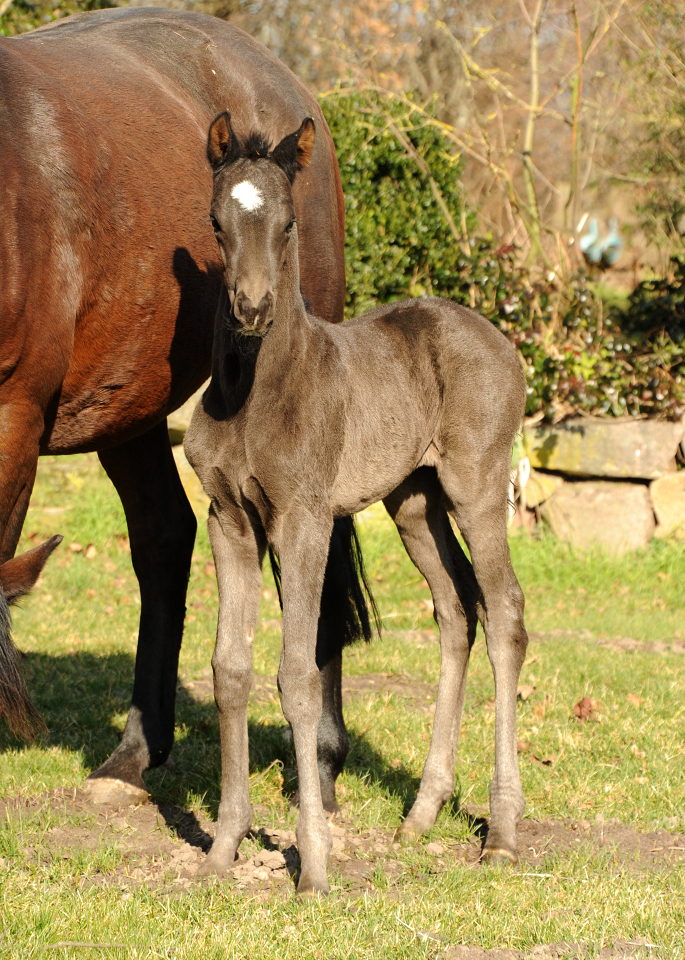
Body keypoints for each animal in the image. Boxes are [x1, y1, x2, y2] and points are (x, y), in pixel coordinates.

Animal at [184, 114, 528, 900]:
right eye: (217, 222)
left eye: (287, 223)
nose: (252, 308)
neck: (252, 392)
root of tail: (503, 344)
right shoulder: (228, 520)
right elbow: (229, 669)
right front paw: (223, 848)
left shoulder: (304, 520)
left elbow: (298, 675)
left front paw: (313, 863)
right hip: (414, 501)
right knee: (456, 610)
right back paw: (423, 813)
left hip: (476, 486)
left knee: (504, 613)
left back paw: (500, 832)